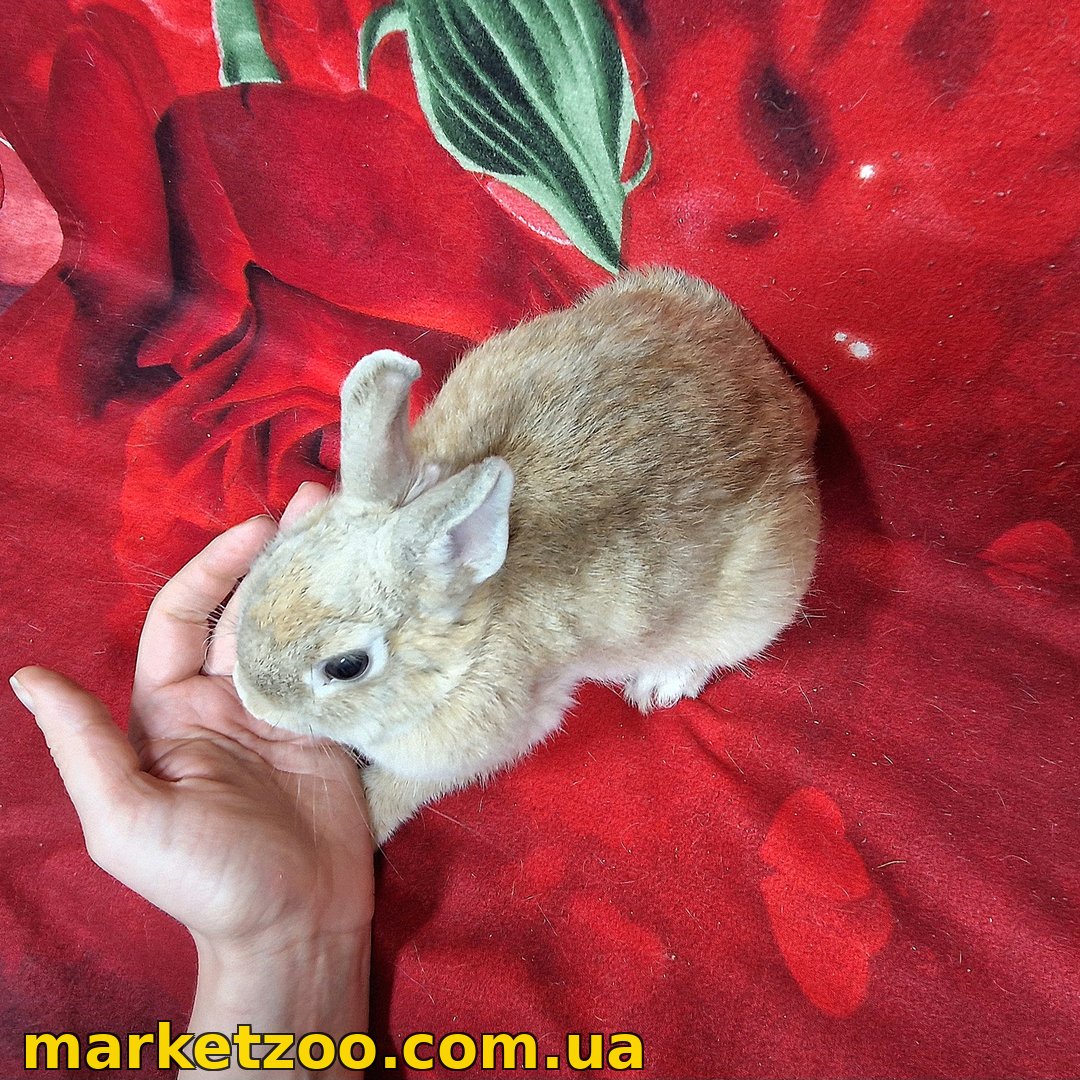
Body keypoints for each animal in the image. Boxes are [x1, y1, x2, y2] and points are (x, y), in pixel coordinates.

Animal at [231, 268, 820, 844]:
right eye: (267, 560)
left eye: (346, 666)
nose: (251, 700)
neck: (469, 643)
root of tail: (790, 403)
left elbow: (401, 790)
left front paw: (371, 817)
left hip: (753, 604)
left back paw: (658, 685)